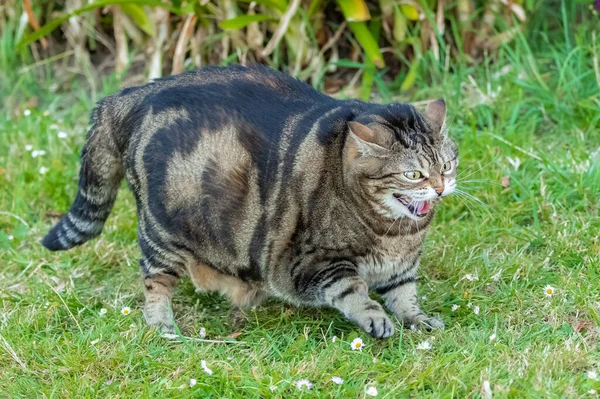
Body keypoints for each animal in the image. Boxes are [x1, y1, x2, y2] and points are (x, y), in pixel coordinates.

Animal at [42, 65, 460, 338]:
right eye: (413, 175)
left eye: (447, 165)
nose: (441, 188)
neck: (395, 233)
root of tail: (134, 93)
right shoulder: (312, 265)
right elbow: (354, 290)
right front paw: (375, 318)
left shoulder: (401, 268)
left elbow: (404, 295)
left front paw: (417, 320)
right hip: (163, 232)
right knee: (154, 282)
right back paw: (164, 326)